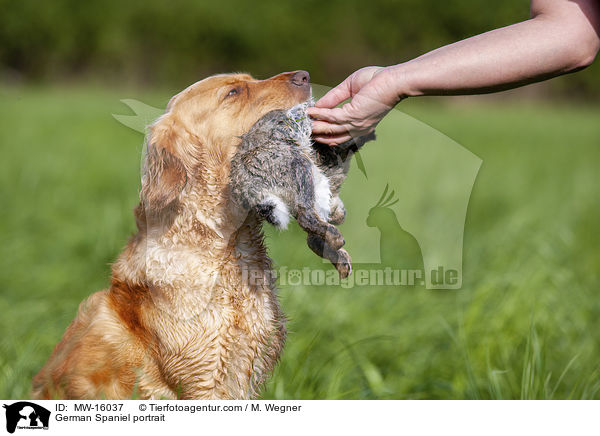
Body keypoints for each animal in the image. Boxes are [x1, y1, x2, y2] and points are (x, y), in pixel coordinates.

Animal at [229, 101, 372, 278]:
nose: (341, 216)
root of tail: (247, 187)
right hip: (298, 166)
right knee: (306, 218)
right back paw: (337, 239)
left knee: (312, 236)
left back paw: (342, 260)